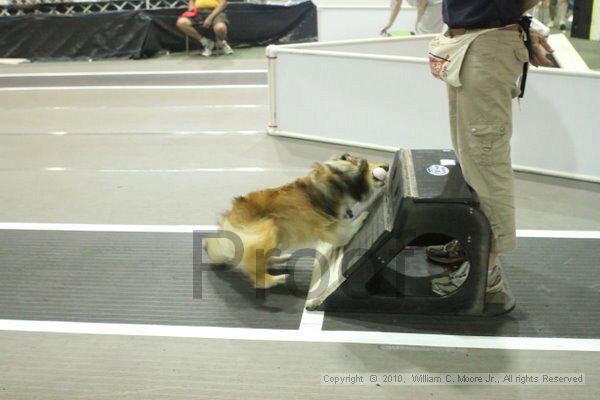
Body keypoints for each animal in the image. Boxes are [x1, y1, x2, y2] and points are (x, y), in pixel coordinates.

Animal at [205, 153, 390, 288]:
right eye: (368, 164)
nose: (387, 166)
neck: (337, 184)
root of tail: (227, 222)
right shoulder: (331, 230)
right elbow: (349, 229)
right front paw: (363, 216)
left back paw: (279, 260)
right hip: (268, 229)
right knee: (256, 275)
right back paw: (276, 279)